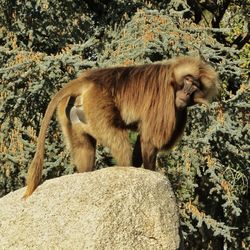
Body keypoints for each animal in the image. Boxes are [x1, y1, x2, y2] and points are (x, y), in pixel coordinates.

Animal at [23, 56, 219, 197]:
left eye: (194, 86)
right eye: (187, 81)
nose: (186, 93)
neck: (172, 78)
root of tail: (88, 80)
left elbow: (142, 139)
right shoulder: (165, 100)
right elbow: (149, 140)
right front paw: (150, 174)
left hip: (72, 116)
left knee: (84, 149)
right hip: (98, 105)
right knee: (120, 144)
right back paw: (125, 169)